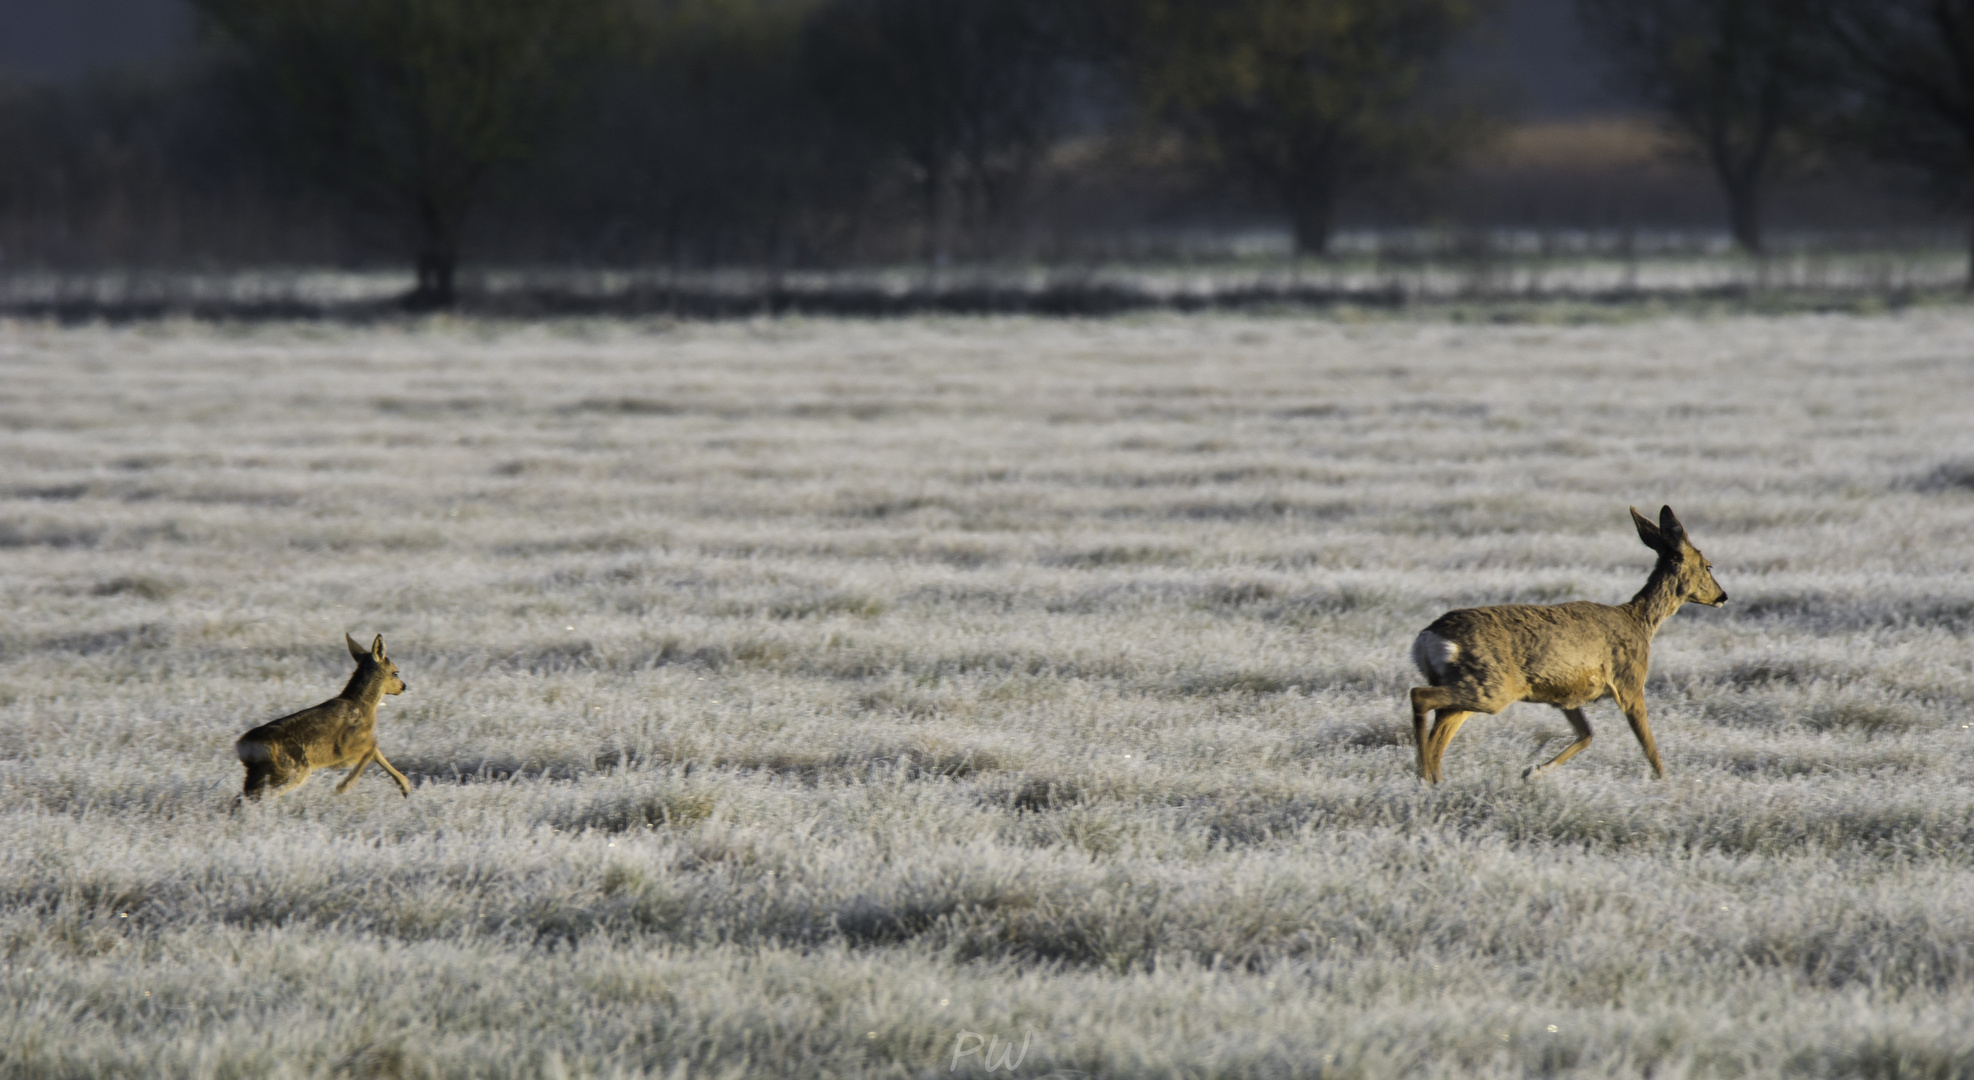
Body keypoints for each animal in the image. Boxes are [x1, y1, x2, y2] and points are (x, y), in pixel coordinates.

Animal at [235, 635, 412, 801]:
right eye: (395, 672)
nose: (404, 686)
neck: (363, 706)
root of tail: (243, 745)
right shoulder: (347, 747)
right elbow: (372, 748)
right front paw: (341, 787)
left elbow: (376, 751)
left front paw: (405, 788)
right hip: (292, 769)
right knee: (256, 797)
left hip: (261, 773)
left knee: (241, 797)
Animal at [1405, 505, 1729, 785]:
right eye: (1708, 565)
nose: (1723, 596)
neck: (1639, 622)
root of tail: (1428, 638)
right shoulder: (1629, 682)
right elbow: (1648, 744)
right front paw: (1667, 784)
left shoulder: (1567, 696)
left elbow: (1587, 734)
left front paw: (1532, 772)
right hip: (1492, 686)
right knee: (1419, 696)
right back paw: (1424, 777)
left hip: (1471, 685)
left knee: (1439, 728)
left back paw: (1434, 778)